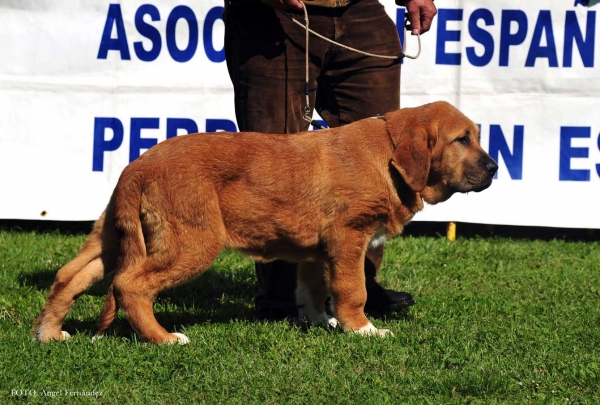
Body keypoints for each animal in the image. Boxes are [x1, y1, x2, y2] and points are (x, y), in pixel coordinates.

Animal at [31, 99, 496, 342]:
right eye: (461, 140)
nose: (494, 168)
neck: (386, 153)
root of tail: (136, 167)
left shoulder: (316, 251)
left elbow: (312, 290)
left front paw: (320, 322)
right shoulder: (348, 238)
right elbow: (353, 289)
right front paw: (363, 330)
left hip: (112, 235)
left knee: (69, 275)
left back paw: (50, 334)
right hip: (191, 242)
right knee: (131, 285)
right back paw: (163, 338)